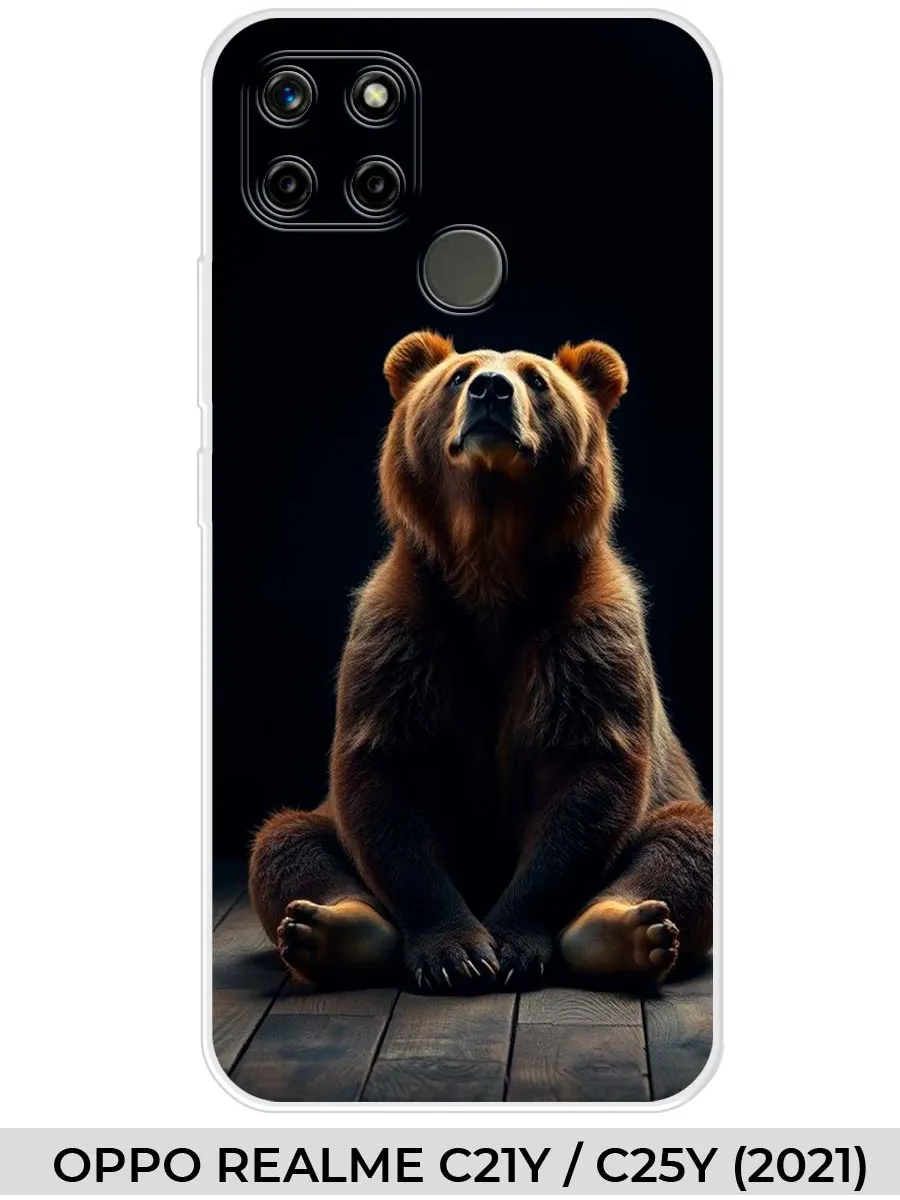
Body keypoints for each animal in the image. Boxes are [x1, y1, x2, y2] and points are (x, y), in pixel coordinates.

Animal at [248, 331, 713, 993]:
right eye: (459, 373)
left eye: (537, 379)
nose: (491, 389)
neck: (490, 563)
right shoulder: (402, 630)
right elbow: (383, 773)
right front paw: (457, 952)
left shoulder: (586, 632)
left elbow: (590, 775)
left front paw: (513, 943)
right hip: (322, 818)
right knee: (284, 838)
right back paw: (332, 928)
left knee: (689, 835)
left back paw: (623, 931)